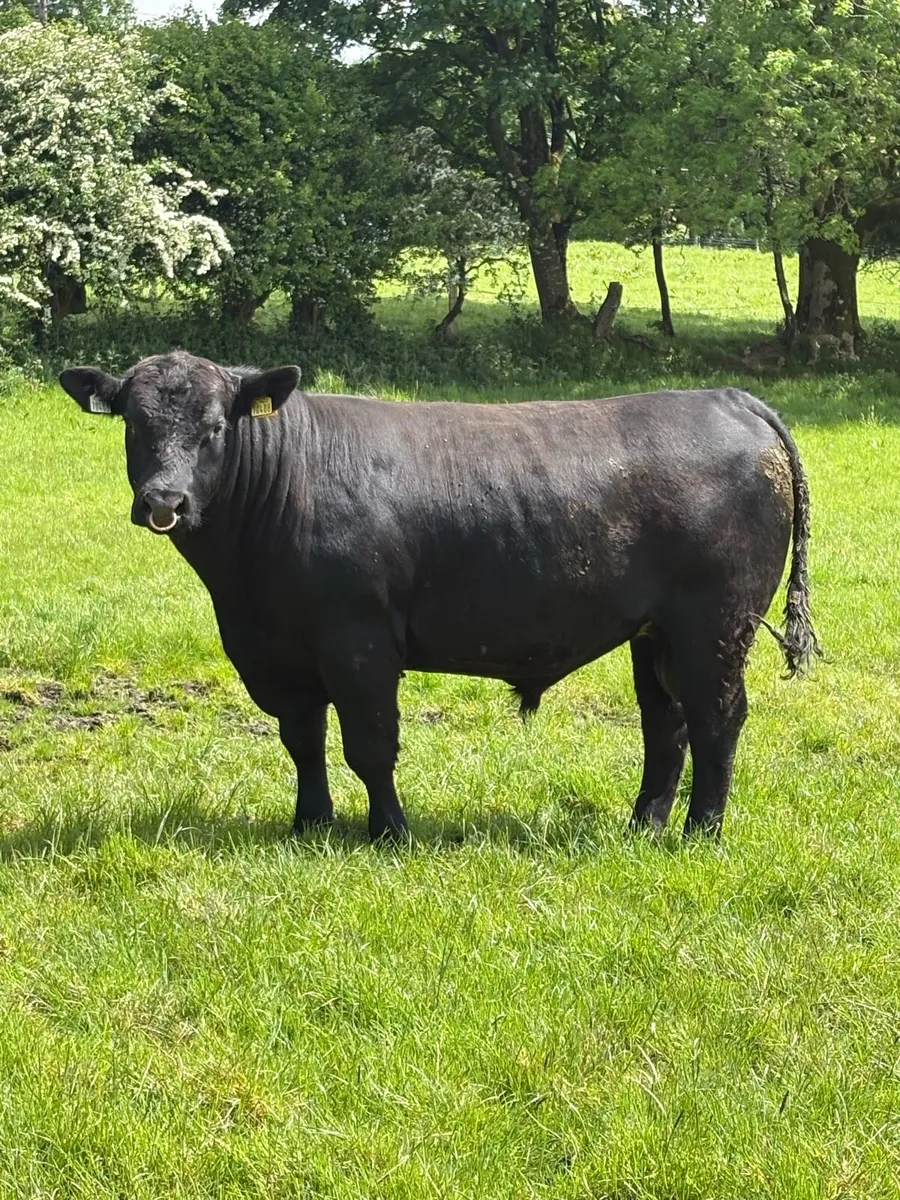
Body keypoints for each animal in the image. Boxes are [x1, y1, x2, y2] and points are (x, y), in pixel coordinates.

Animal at [59, 352, 820, 841]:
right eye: (133, 423)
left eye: (216, 426)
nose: (165, 500)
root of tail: (728, 397)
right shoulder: (277, 653)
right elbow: (303, 742)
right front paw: (309, 825)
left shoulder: (358, 641)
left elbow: (371, 744)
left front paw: (389, 832)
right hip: (655, 634)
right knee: (667, 724)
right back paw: (645, 824)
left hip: (715, 625)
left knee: (718, 718)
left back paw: (701, 831)